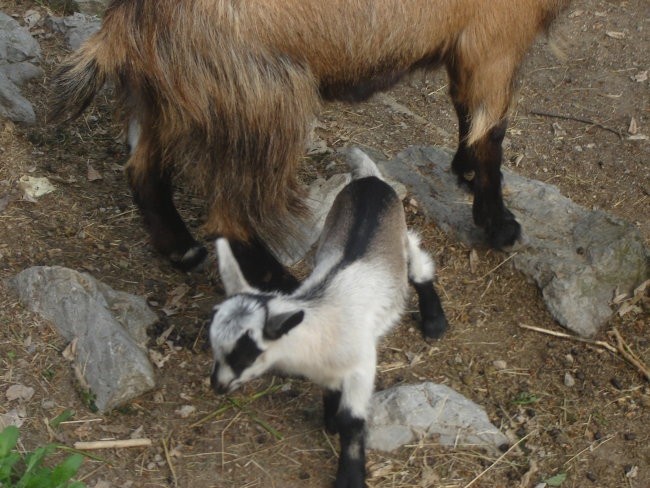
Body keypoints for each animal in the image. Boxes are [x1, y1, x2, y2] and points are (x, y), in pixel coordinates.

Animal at [49, 0, 568, 290]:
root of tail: (128, 25)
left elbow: (465, 114)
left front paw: (463, 171)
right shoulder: (494, 43)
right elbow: (491, 132)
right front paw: (500, 224)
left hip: (167, 102)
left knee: (144, 172)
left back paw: (182, 250)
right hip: (263, 104)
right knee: (229, 215)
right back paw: (280, 285)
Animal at [208, 149, 446, 488]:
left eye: (246, 354)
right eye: (214, 347)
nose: (218, 385)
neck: (320, 317)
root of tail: (370, 180)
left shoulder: (362, 365)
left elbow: (352, 420)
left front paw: (349, 476)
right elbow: (331, 390)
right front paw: (330, 420)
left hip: (400, 233)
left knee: (418, 263)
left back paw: (435, 322)